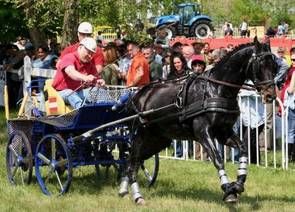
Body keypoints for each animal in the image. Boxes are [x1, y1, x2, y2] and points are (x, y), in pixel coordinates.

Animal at [119, 38, 278, 204]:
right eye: (260, 65)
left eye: (275, 66)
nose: (270, 95)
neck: (216, 89)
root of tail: (136, 96)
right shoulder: (202, 132)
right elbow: (217, 158)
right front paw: (228, 189)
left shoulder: (223, 132)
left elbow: (243, 149)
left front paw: (238, 184)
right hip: (141, 135)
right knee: (132, 162)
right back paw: (137, 196)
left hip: (158, 139)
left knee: (135, 161)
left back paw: (124, 189)